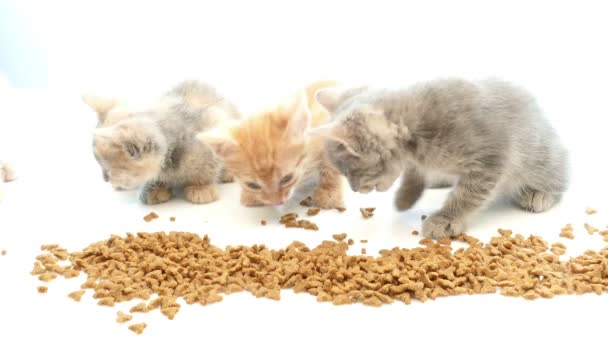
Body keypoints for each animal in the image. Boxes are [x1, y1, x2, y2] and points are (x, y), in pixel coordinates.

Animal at [82, 79, 239, 204]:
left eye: (109, 170)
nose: (105, 179)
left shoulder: (213, 123)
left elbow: (208, 168)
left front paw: (201, 187)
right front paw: (155, 188)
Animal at [198, 81, 342, 208]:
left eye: (287, 178)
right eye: (252, 185)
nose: (276, 202)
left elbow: (330, 168)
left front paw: (329, 194)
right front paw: (250, 196)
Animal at [314, 79, 568, 239]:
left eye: (350, 171)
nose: (355, 189)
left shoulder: (489, 159)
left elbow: (467, 194)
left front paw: (445, 219)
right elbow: (414, 174)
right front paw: (405, 198)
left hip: (540, 155)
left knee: (558, 172)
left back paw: (539, 193)